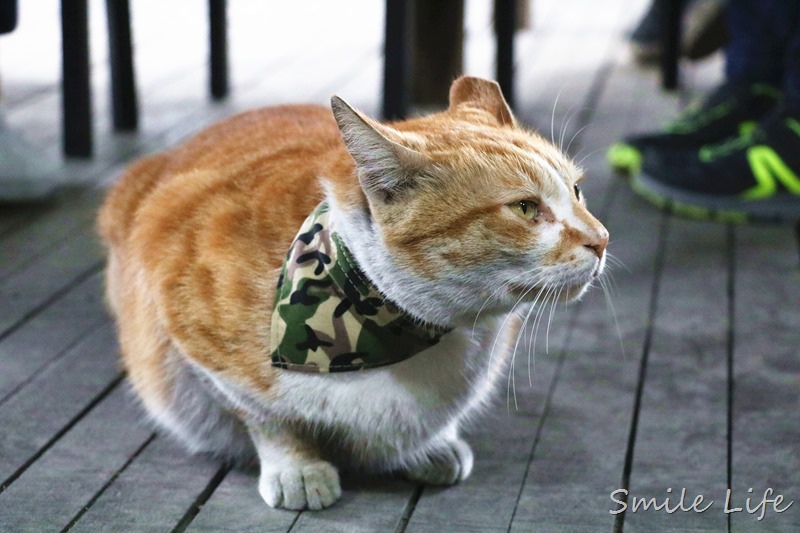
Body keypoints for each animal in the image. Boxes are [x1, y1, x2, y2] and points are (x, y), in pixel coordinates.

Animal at [97, 77, 608, 510]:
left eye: (577, 191)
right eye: (525, 208)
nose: (601, 239)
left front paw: (432, 445)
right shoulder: (192, 333)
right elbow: (266, 418)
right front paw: (298, 468)